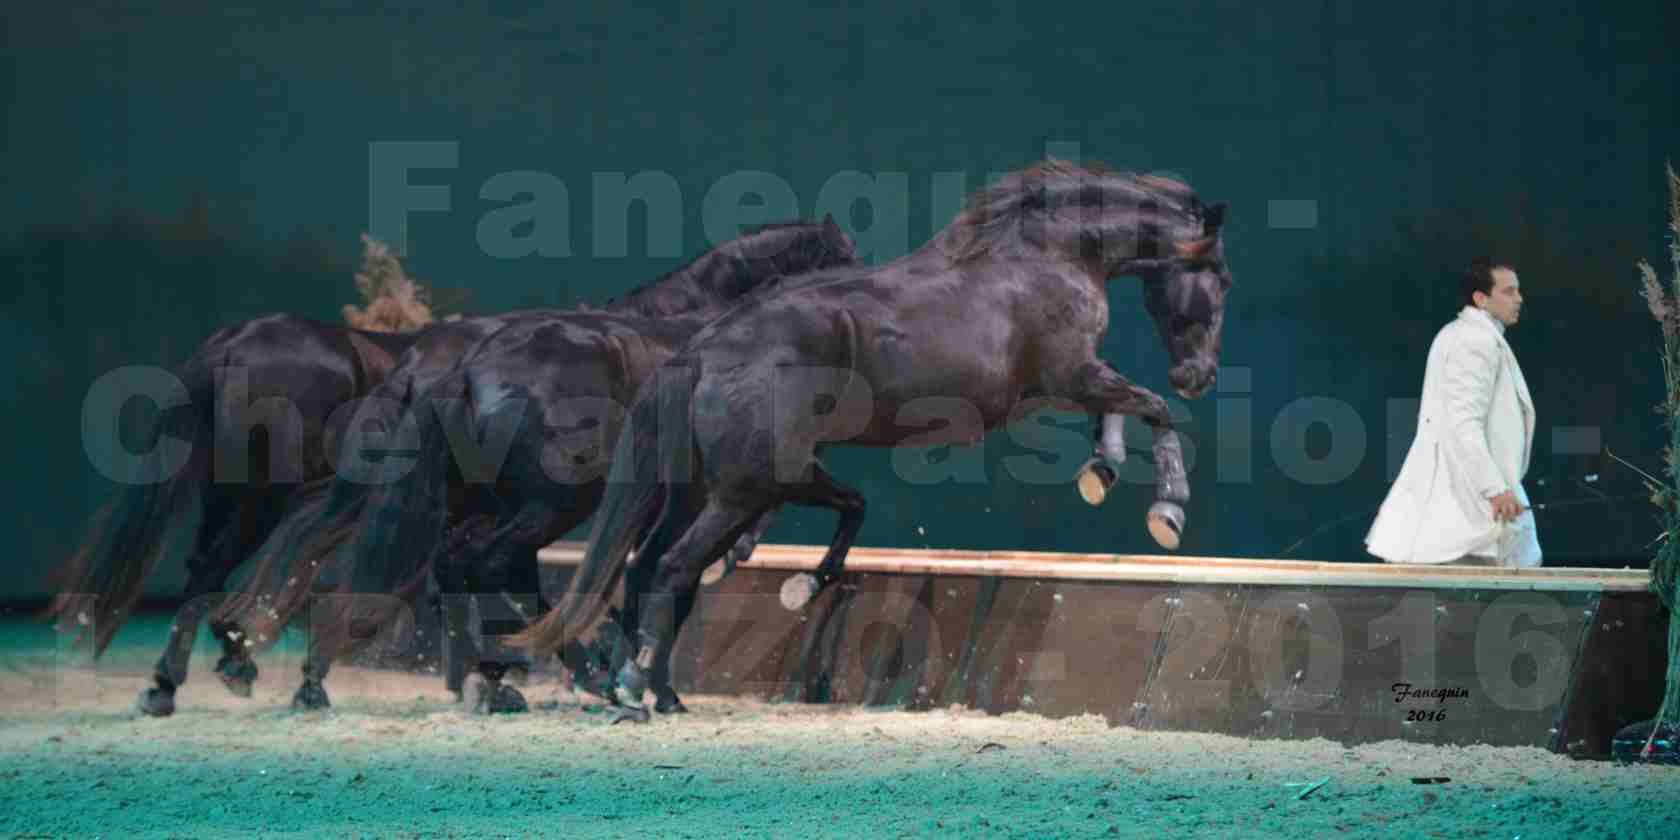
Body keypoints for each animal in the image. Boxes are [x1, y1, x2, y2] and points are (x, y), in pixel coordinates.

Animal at [503, 160, 1229, 725]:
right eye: (1218, 282)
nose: (1198, 376)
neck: (1048, 255)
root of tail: (703, 349)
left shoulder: (1059, 386)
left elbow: (1118, 413)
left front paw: (1102, 469)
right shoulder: (1069, 373)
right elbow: (1154, 412)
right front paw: (1167, 511)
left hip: (711, 490)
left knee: (646, 566)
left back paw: (656, 690)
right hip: (742, 492)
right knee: (675, 567)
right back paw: (638, 688)